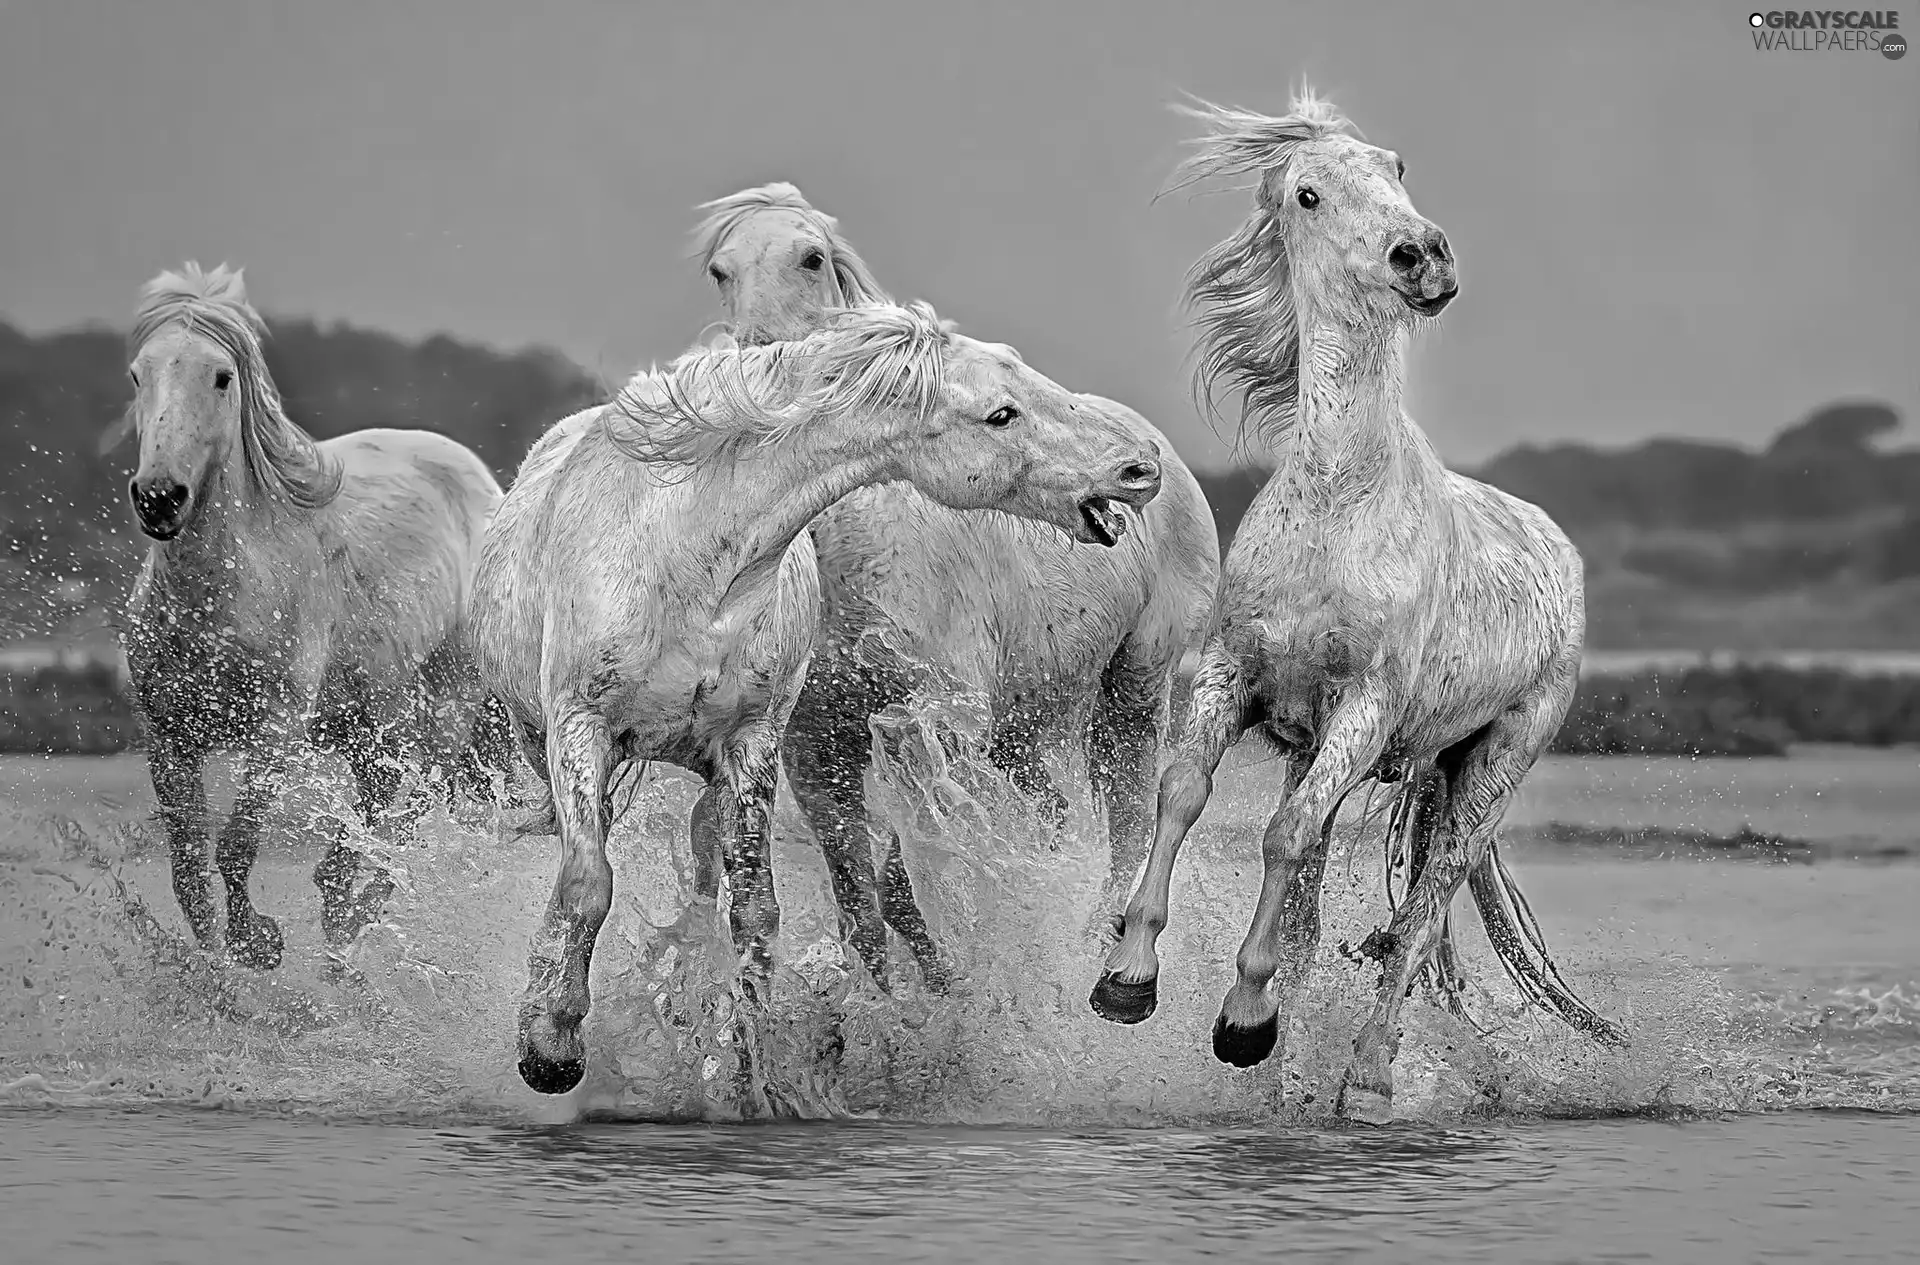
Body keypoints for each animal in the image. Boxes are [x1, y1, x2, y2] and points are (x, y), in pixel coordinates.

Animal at [111, 259, 503, 971]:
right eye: (138, 374)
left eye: (221, 376)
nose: (158, 498)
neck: (217, 602)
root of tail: (485, 485)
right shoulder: (168, 736)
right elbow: (187, 867)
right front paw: (212, 967)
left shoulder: (276, 728)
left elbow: (237, 841)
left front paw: (257, 942)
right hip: (375, 726)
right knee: (384, 807)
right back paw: (341, 910)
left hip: (446, 708)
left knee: (409, 812)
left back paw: (349, 912)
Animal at [476, 301, 1167, 1105]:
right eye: (1001, 412)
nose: (1140, 467)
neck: (689, 557)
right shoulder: (580, 729)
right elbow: (587, 883)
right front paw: (549, 1046)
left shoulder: (751, 744)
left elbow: (754, 912)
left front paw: (749, 1076)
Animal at [698, 185, 1221, 998]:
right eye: (721, 269)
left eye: (809, 257)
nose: (758, 360)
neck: (857, 555)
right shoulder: (818, 750)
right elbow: (871, 899)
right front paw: (916, 998)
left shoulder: (945, 715)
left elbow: (921, 858)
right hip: (1022, 730)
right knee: (1053, 817)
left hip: (1133, 691)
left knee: (1131, 818)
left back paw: (1100, 950)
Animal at [1090, 94, 1628, 1121]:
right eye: (1306, 193)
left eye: (1397, 165)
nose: (1423, 257)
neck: (1340, 501)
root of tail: (1561, 551)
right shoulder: (1233, 679)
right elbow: (1184, 794)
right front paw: (1128, 980)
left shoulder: (1364, 711)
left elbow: (1285, 834)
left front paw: (1242, 1024)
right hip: (1366, 757)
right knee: (1338, 902)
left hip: (1495, 763)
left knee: (1423, 910)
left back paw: (1367, 1079)